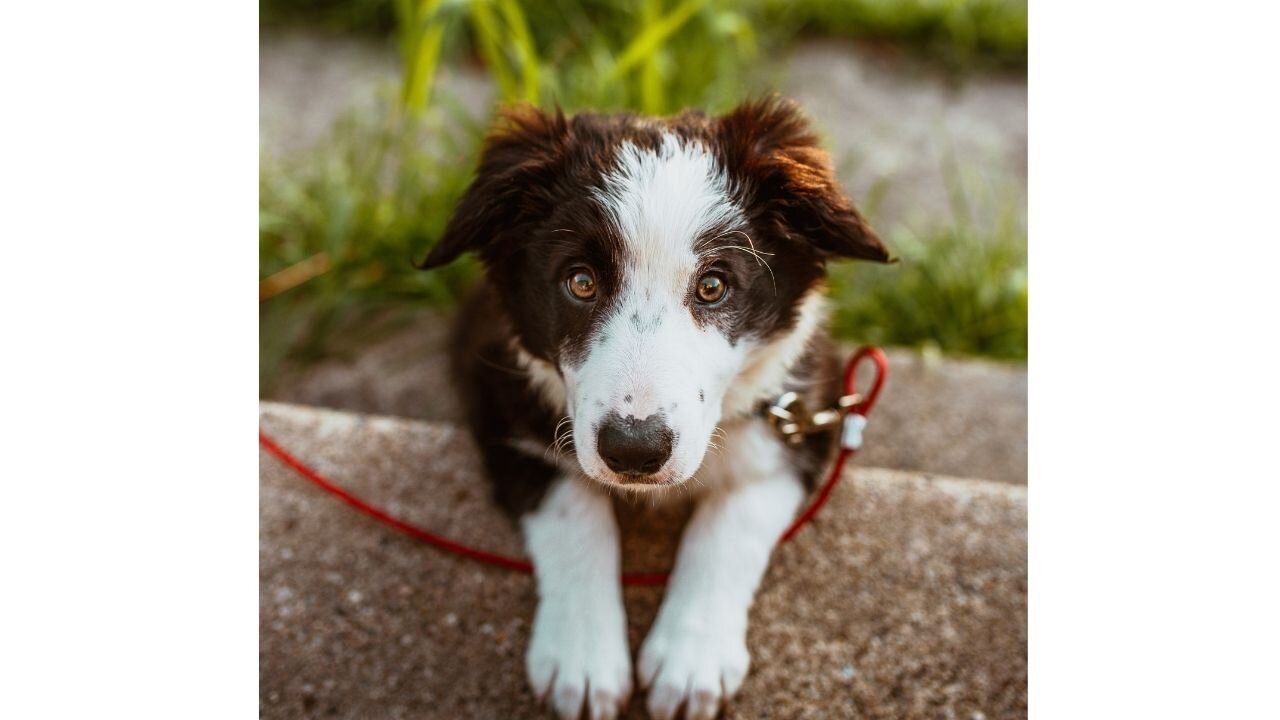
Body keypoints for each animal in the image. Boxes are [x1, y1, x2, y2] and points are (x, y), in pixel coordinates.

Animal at [419, 96, 890, 717]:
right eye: (580, 282)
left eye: (713, 286)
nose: (634, 452)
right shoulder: (498, 396)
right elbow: (574, 510)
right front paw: (583, 660)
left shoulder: (804, 411)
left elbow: (731, 521)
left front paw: (691, 660)